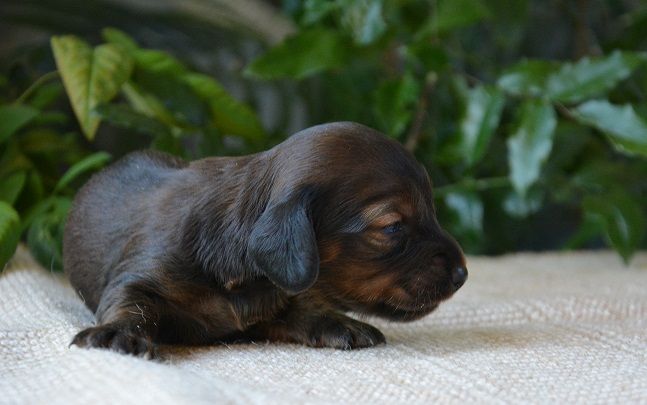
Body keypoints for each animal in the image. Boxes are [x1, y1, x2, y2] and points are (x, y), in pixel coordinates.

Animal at [63, 121, 468, 356]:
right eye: (392, 227)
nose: (463, 275)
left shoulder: (279, 298)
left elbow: (301, 308)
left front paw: (340, 323)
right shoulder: (142, 274)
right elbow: (131, 304)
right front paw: (115, 334)